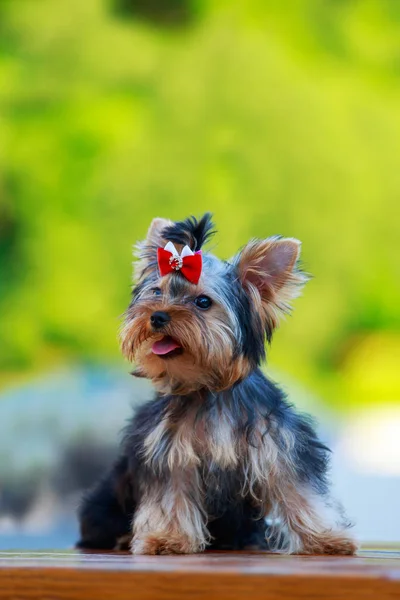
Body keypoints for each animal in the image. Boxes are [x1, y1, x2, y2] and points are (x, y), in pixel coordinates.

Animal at [77, 213, 356, 556]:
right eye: (156, 292)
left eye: (203, 302)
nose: (157, 316)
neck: (208, 388)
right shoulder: (170, 454)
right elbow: (171, 495)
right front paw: (167, 538)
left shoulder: (278, 446)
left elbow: (298, 490)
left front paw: (325, 539)